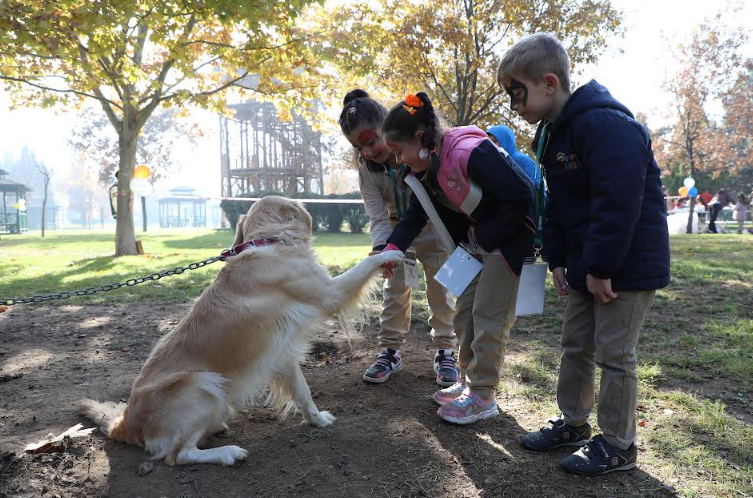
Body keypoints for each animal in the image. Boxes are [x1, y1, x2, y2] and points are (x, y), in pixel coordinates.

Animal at [78, 196, 402, 466]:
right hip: (203, 384)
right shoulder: (330, 293)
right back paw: (227, 453)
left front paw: (317, 419)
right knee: (177, 455)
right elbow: (364, 264)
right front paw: (389, 255)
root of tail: (125, 422)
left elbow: (303, 391)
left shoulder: (282, 352)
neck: (268, 241)